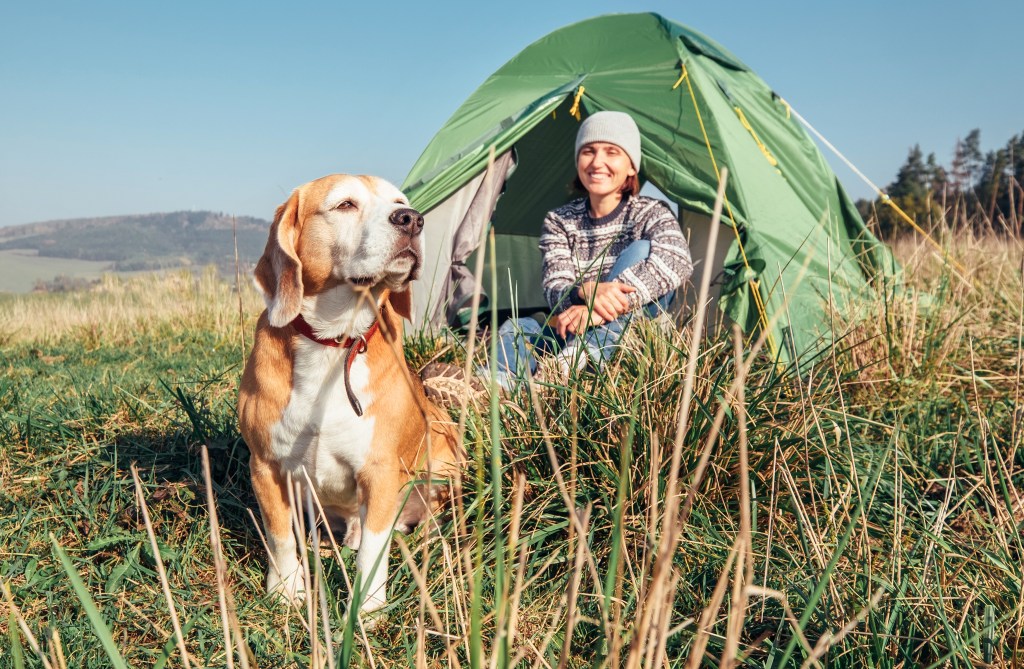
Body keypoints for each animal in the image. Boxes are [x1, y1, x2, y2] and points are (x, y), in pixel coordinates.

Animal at [237, 175, 462, 614]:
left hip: (445, 467)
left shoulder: (379, 473)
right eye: (345, 205)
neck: (334, 342)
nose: (412, 219)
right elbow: (280, 537)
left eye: (400, 201)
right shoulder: (266, 467)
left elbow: (373, 551)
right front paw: (285, 593)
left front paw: (368, 610)